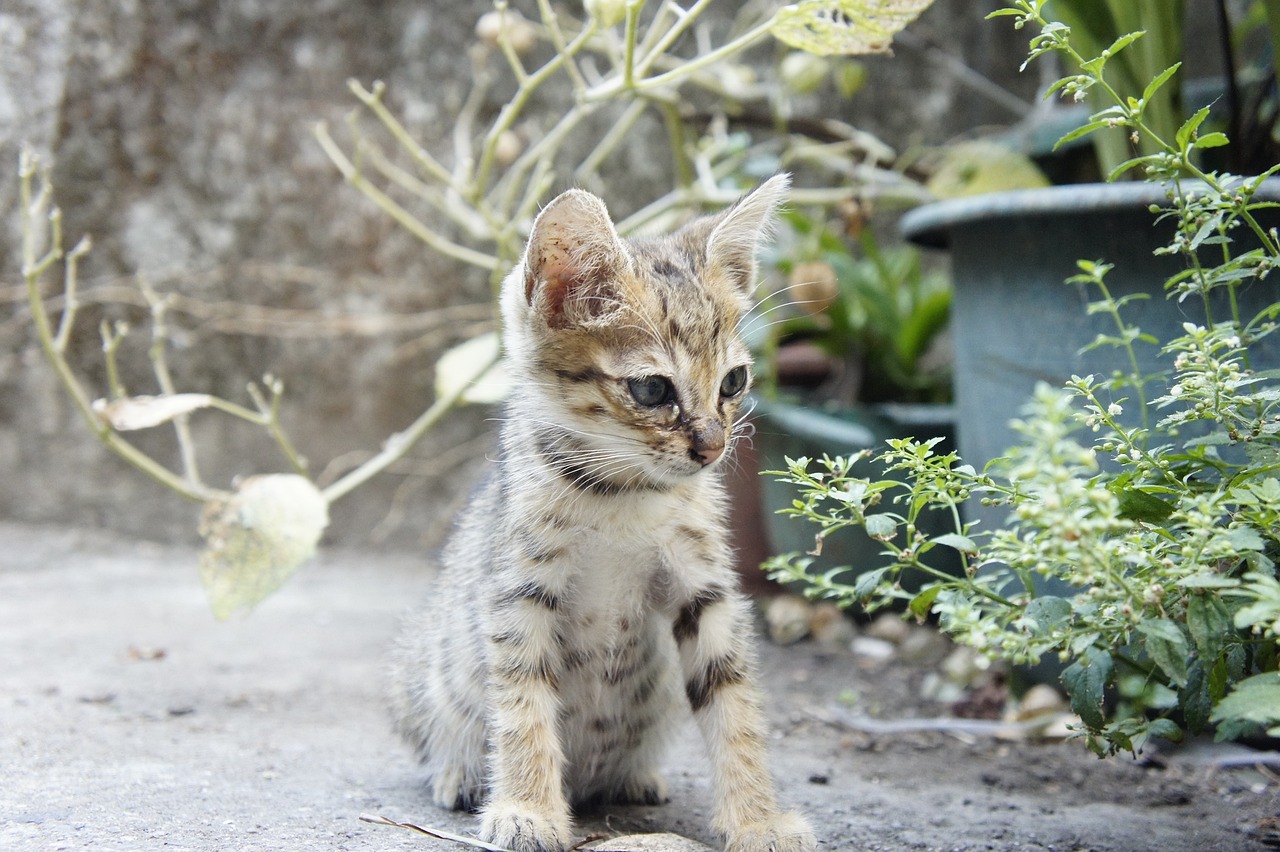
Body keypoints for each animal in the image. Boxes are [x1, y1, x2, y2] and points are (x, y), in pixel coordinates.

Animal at [384, 172, 819, 849]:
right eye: (652, 389)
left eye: (734, 382)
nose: (712, 447)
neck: (625, 496)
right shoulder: (520, 588)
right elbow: (523, 702)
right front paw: (528, 810)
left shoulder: (705, 586)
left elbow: (734, 699)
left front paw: (757, 819)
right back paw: (459, 774)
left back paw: (633, 778)